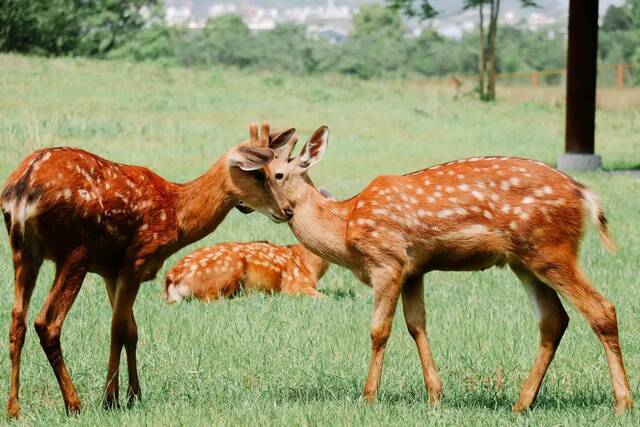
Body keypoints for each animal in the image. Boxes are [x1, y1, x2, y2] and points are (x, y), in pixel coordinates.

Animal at [0, 120, 298, 418]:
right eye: (260, 174)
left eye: (277, 173)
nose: (288, 210)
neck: (177, 214)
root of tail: (24, 188)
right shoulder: (137, 258)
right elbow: (118, 328)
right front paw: (110, 398)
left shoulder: (111, 270)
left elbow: (131, 330)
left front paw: (134, 394)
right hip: (75, 250)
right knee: (46, 323)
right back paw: (74, 404)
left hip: (24, 252)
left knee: (17, 321)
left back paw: (13, 408)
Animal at [264, 126, 636, 414]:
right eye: (261, 174)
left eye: (276, 175)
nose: (279, 211)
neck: (346, 225)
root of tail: (584, 194)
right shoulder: (414, 270)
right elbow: (417, 326)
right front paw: (434, 396)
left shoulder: (387, 260)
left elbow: (379, 330)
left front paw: (368, 397)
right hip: (524, 260)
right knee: (553, 320)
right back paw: (521, 404)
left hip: (550, 249)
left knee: (601, 308)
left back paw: (623, 403)